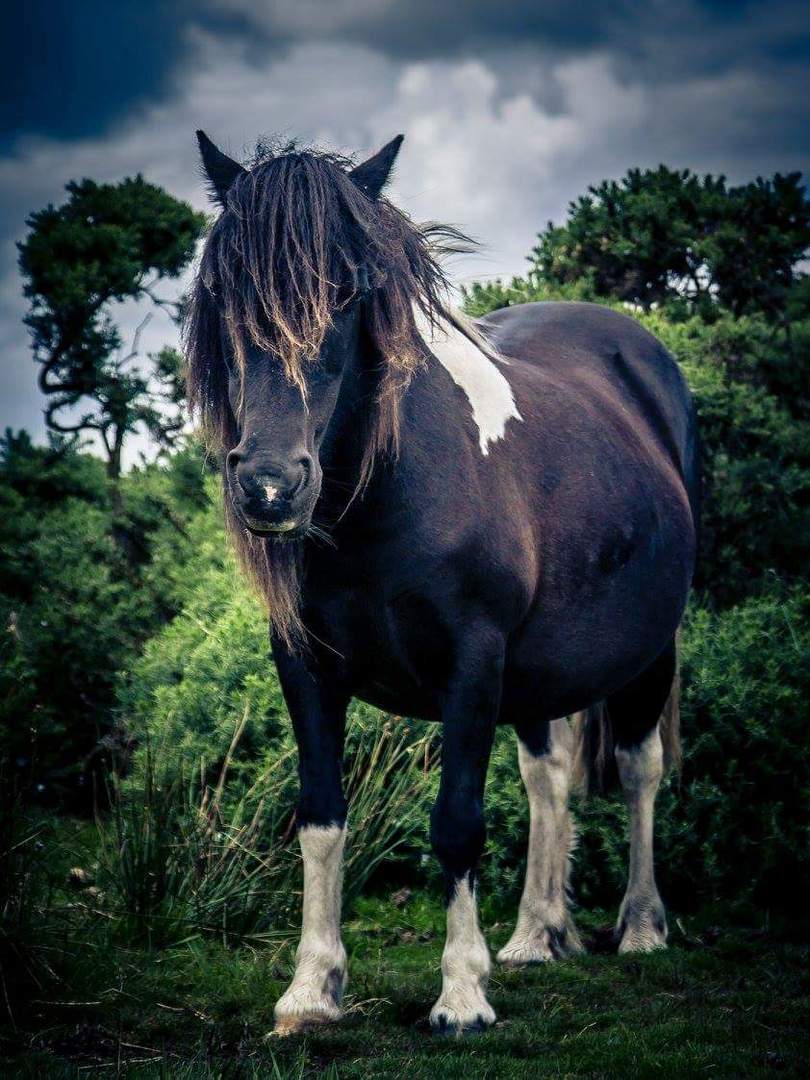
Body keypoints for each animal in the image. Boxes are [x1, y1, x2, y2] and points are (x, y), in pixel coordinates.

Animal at [186, 129, 699, 1036]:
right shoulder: (305, 668)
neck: (388, 496)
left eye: (350, 290)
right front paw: (312, 989)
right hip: (542, 672)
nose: (272, 487)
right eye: (222, 288)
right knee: (548, 777)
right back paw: (537, 934)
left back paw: (640, 927)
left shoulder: (473, 662)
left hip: (647, 651)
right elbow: (321, 818)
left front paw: (461, 995)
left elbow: (457, 824)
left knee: (640, 768)